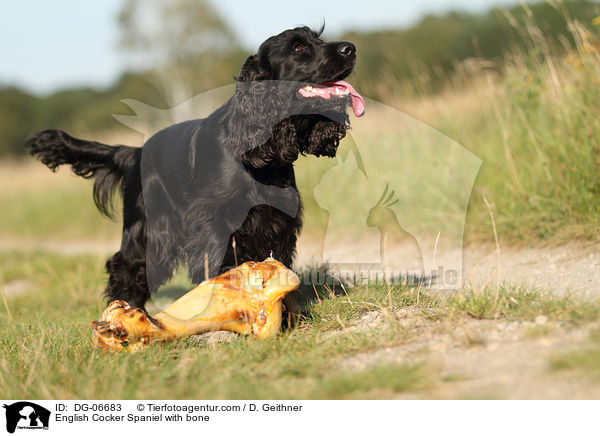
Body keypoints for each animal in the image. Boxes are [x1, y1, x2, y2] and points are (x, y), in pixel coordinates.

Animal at [28, 25, 364, 308]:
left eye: (318, 38)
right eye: (298, 48)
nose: (350, 47)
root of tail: (135, 153)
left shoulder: (276, 223)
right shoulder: (212, 224)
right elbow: (217, 266)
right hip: (148, 230)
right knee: (125, 265)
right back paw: (124, 310)